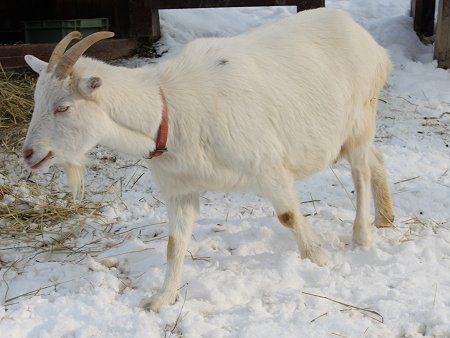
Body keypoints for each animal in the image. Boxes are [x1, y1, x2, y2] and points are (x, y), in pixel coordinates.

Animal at [22, 8, 394, 312]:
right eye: (38, 100)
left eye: (63, 107)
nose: (29, 155)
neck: (168, 110)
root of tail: (371, 44)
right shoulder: (180, 188)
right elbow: (174, 243)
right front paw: (162, 299)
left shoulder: (268, 166)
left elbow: (288, 216)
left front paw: (318, 259)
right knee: (376, 157)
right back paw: (386, 218)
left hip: (360, 118)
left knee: (361, 170)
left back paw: (362, 234)